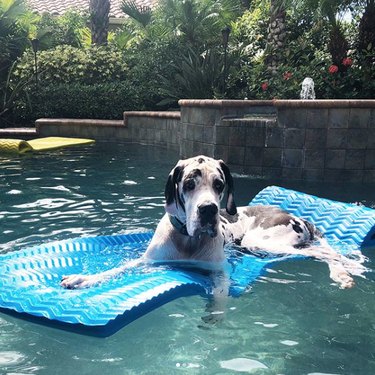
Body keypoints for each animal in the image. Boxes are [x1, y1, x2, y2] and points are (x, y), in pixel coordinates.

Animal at [61, 156, 368, 290]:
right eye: (189, 183)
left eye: (219, 184)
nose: (208, 209)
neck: (188, 240)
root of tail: (299, 217)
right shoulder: (149, 261)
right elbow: (117, 270)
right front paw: (82, 278)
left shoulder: (219, 271)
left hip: (264, 242)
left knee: (323, 253)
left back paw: (344, 273)